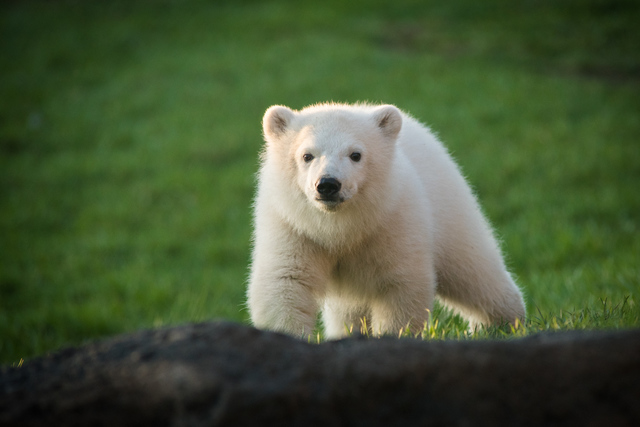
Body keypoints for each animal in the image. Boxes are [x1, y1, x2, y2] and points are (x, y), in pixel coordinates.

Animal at [247, 102, 525, 339]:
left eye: (356, 154)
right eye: (307, 155)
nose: (328, 185)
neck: (338, 228)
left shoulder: (393, 221)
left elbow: (399, 285)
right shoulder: (292, 226)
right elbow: (285, 282)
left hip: (449, 207)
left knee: (473, 269)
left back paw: (503, 324)